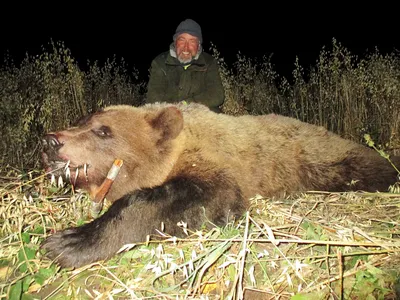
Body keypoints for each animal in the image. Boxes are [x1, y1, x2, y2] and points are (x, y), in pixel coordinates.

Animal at [41, 102, 400, 268]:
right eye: (82, 121)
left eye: (103, 131)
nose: (50, 141)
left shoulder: (216, 163)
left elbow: (206, 197)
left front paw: (71, 241)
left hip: (324, 159)